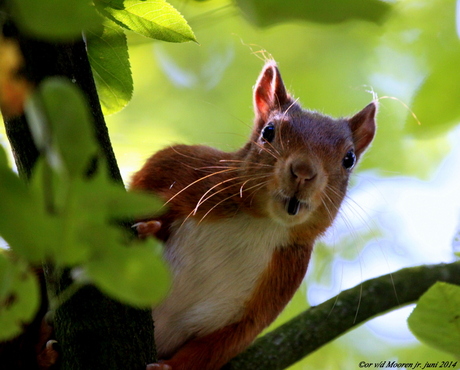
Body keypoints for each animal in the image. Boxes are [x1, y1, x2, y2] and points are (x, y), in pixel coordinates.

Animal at [130, 59, 378, 368]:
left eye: (349, 159)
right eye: (268, 132)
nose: (303, 171)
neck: (260, 222)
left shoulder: (270, 294)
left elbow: (215, 347)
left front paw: (168, 367)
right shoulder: (176, 169)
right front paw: (145, 233)